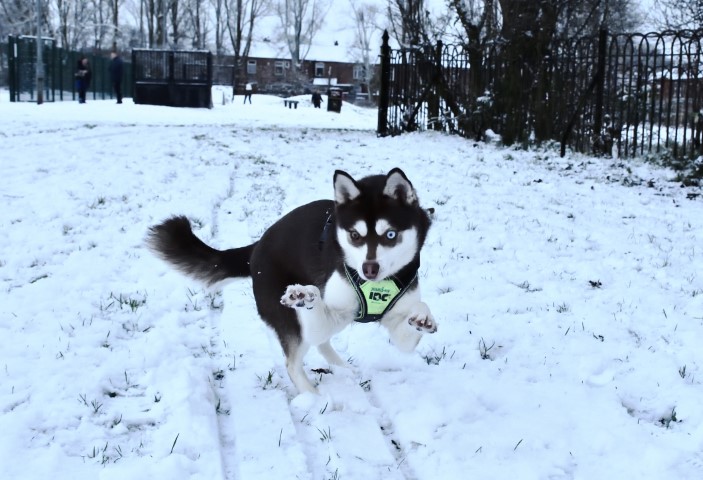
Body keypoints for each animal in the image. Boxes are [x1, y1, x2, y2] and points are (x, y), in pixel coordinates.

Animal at [147, 168, 437, 394]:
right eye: (355, 235)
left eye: (390, 234)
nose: (369, 270)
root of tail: (256, 248)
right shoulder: (333, 310)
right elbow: (315, 314)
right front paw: (305, 296)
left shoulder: (397, 323)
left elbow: (411, 327)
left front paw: (423, 317)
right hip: (286, 316)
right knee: (295, 361)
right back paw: (315, 398)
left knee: (321, 343)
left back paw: (344, 368)